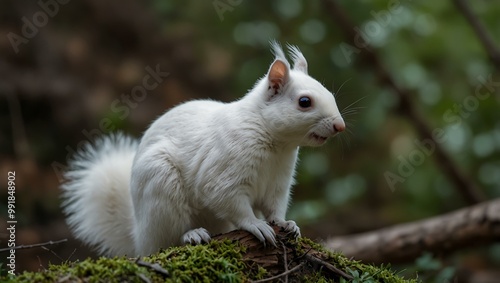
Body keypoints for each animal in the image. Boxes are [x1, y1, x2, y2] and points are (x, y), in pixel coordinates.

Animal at [60, 42, 346, 258]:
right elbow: (233, 204)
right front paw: (256, 225)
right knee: (165, 241)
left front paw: (286, 223)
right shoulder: (223, 175)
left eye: (330, 93)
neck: (276, 144)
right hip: (160, 189)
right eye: (304, 102)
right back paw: (191, 234)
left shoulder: (278, 182)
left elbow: (274, 207)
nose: (340, 126)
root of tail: (138, 236)